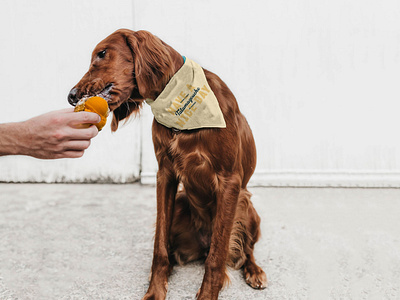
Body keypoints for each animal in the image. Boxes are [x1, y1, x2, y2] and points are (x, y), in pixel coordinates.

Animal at [68, 28, 268, 300]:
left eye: (102, 53)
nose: (71, 96)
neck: (178, 100)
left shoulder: (230, 181)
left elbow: (217, 256)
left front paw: (207, 295)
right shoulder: (165, 174)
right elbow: (160, 246)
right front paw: (154, 291)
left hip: (247, 207)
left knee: (244, 251)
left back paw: (255, 271)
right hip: (183, 203)